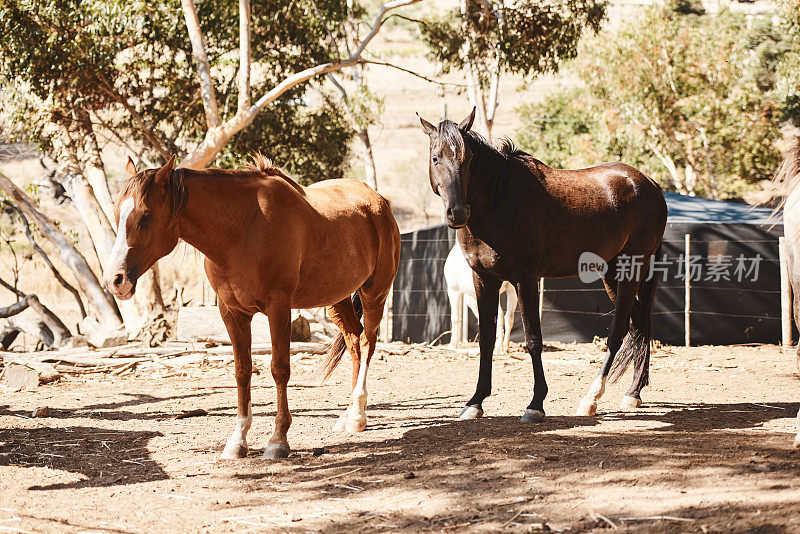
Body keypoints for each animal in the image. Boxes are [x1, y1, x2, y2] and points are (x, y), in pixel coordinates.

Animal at [101, 155, 400, 460]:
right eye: (117, 214)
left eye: (146, 215)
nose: (115, 280)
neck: (243, 230)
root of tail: (379, 202)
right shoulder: (233, 314)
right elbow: (242, 370)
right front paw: (238, 440)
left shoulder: (278, 308)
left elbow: (279, 369)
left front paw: (278, 440)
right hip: (336, 299)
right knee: (353, 341)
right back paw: (350, 414)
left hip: (374, 293)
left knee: (367, 342)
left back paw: (357, 416)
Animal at [418, 110, 668, 422]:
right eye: (436, 157)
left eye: (468, 158)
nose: (458, 212)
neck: (499, 201)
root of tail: (650, 183)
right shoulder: (484, 280)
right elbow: (486, 339)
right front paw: (475, 402)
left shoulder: (525, 279)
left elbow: (533, 339)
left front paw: (535, 404)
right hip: (612, 272)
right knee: (638, 326)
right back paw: (633, 393)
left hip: (631, 269)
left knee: (620, 331)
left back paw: (592, 398)